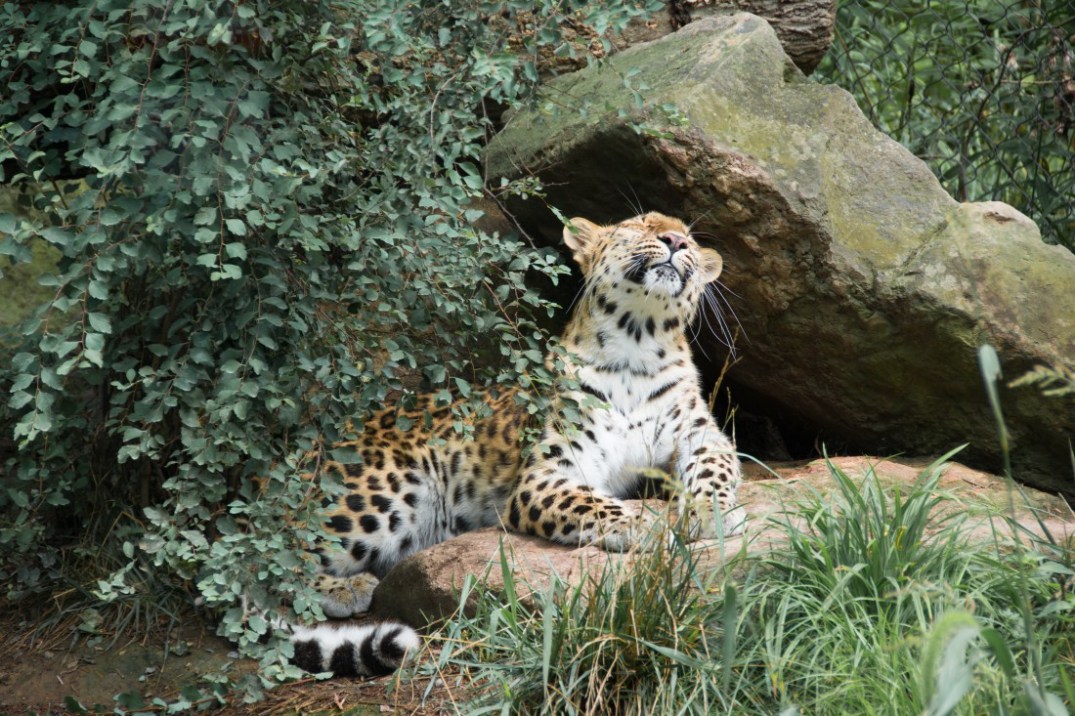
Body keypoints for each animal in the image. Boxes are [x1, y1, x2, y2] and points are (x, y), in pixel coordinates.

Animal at [286, 212, 745, 677]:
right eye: (638, 226)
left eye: (689, 240)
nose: (674, 241)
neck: (637, 350)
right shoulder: (547, 471)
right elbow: (593, 502)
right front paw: (644, 524)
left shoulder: (701, 434)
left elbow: (714, 470)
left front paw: (708, 512)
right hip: (390, 491)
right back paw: (345, 587)